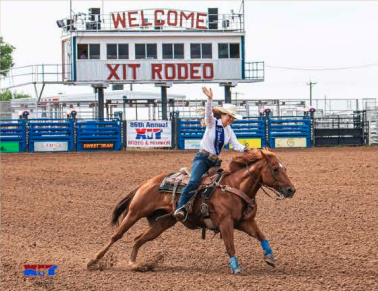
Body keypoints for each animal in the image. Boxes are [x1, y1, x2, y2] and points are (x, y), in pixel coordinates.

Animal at [86, 149, 296, 274]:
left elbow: (262, 236)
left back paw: (135, 264)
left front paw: (269, 258)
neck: (235, 187)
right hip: (134, 212)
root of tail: (146, 182)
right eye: (275, 169)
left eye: (283, 168)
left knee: (138, 239)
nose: (291, 190)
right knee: (116, 236)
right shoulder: (226, 223)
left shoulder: (245, 222)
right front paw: (236, 268)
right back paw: (93, 261)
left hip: (161, 223)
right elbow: (230, 245)